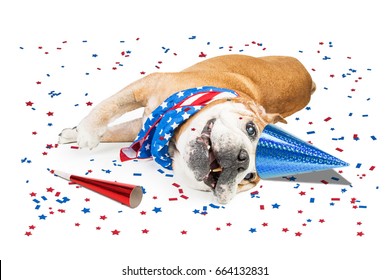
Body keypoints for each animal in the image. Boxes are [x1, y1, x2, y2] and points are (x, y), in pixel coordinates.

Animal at [59, 54, 316, 203]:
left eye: (250, 178)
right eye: (251, 129)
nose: (242, 161)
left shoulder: (139, 125)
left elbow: (116, 130)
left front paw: (79, 132)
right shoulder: (146, 86)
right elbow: (110, 106)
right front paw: (85, 131)